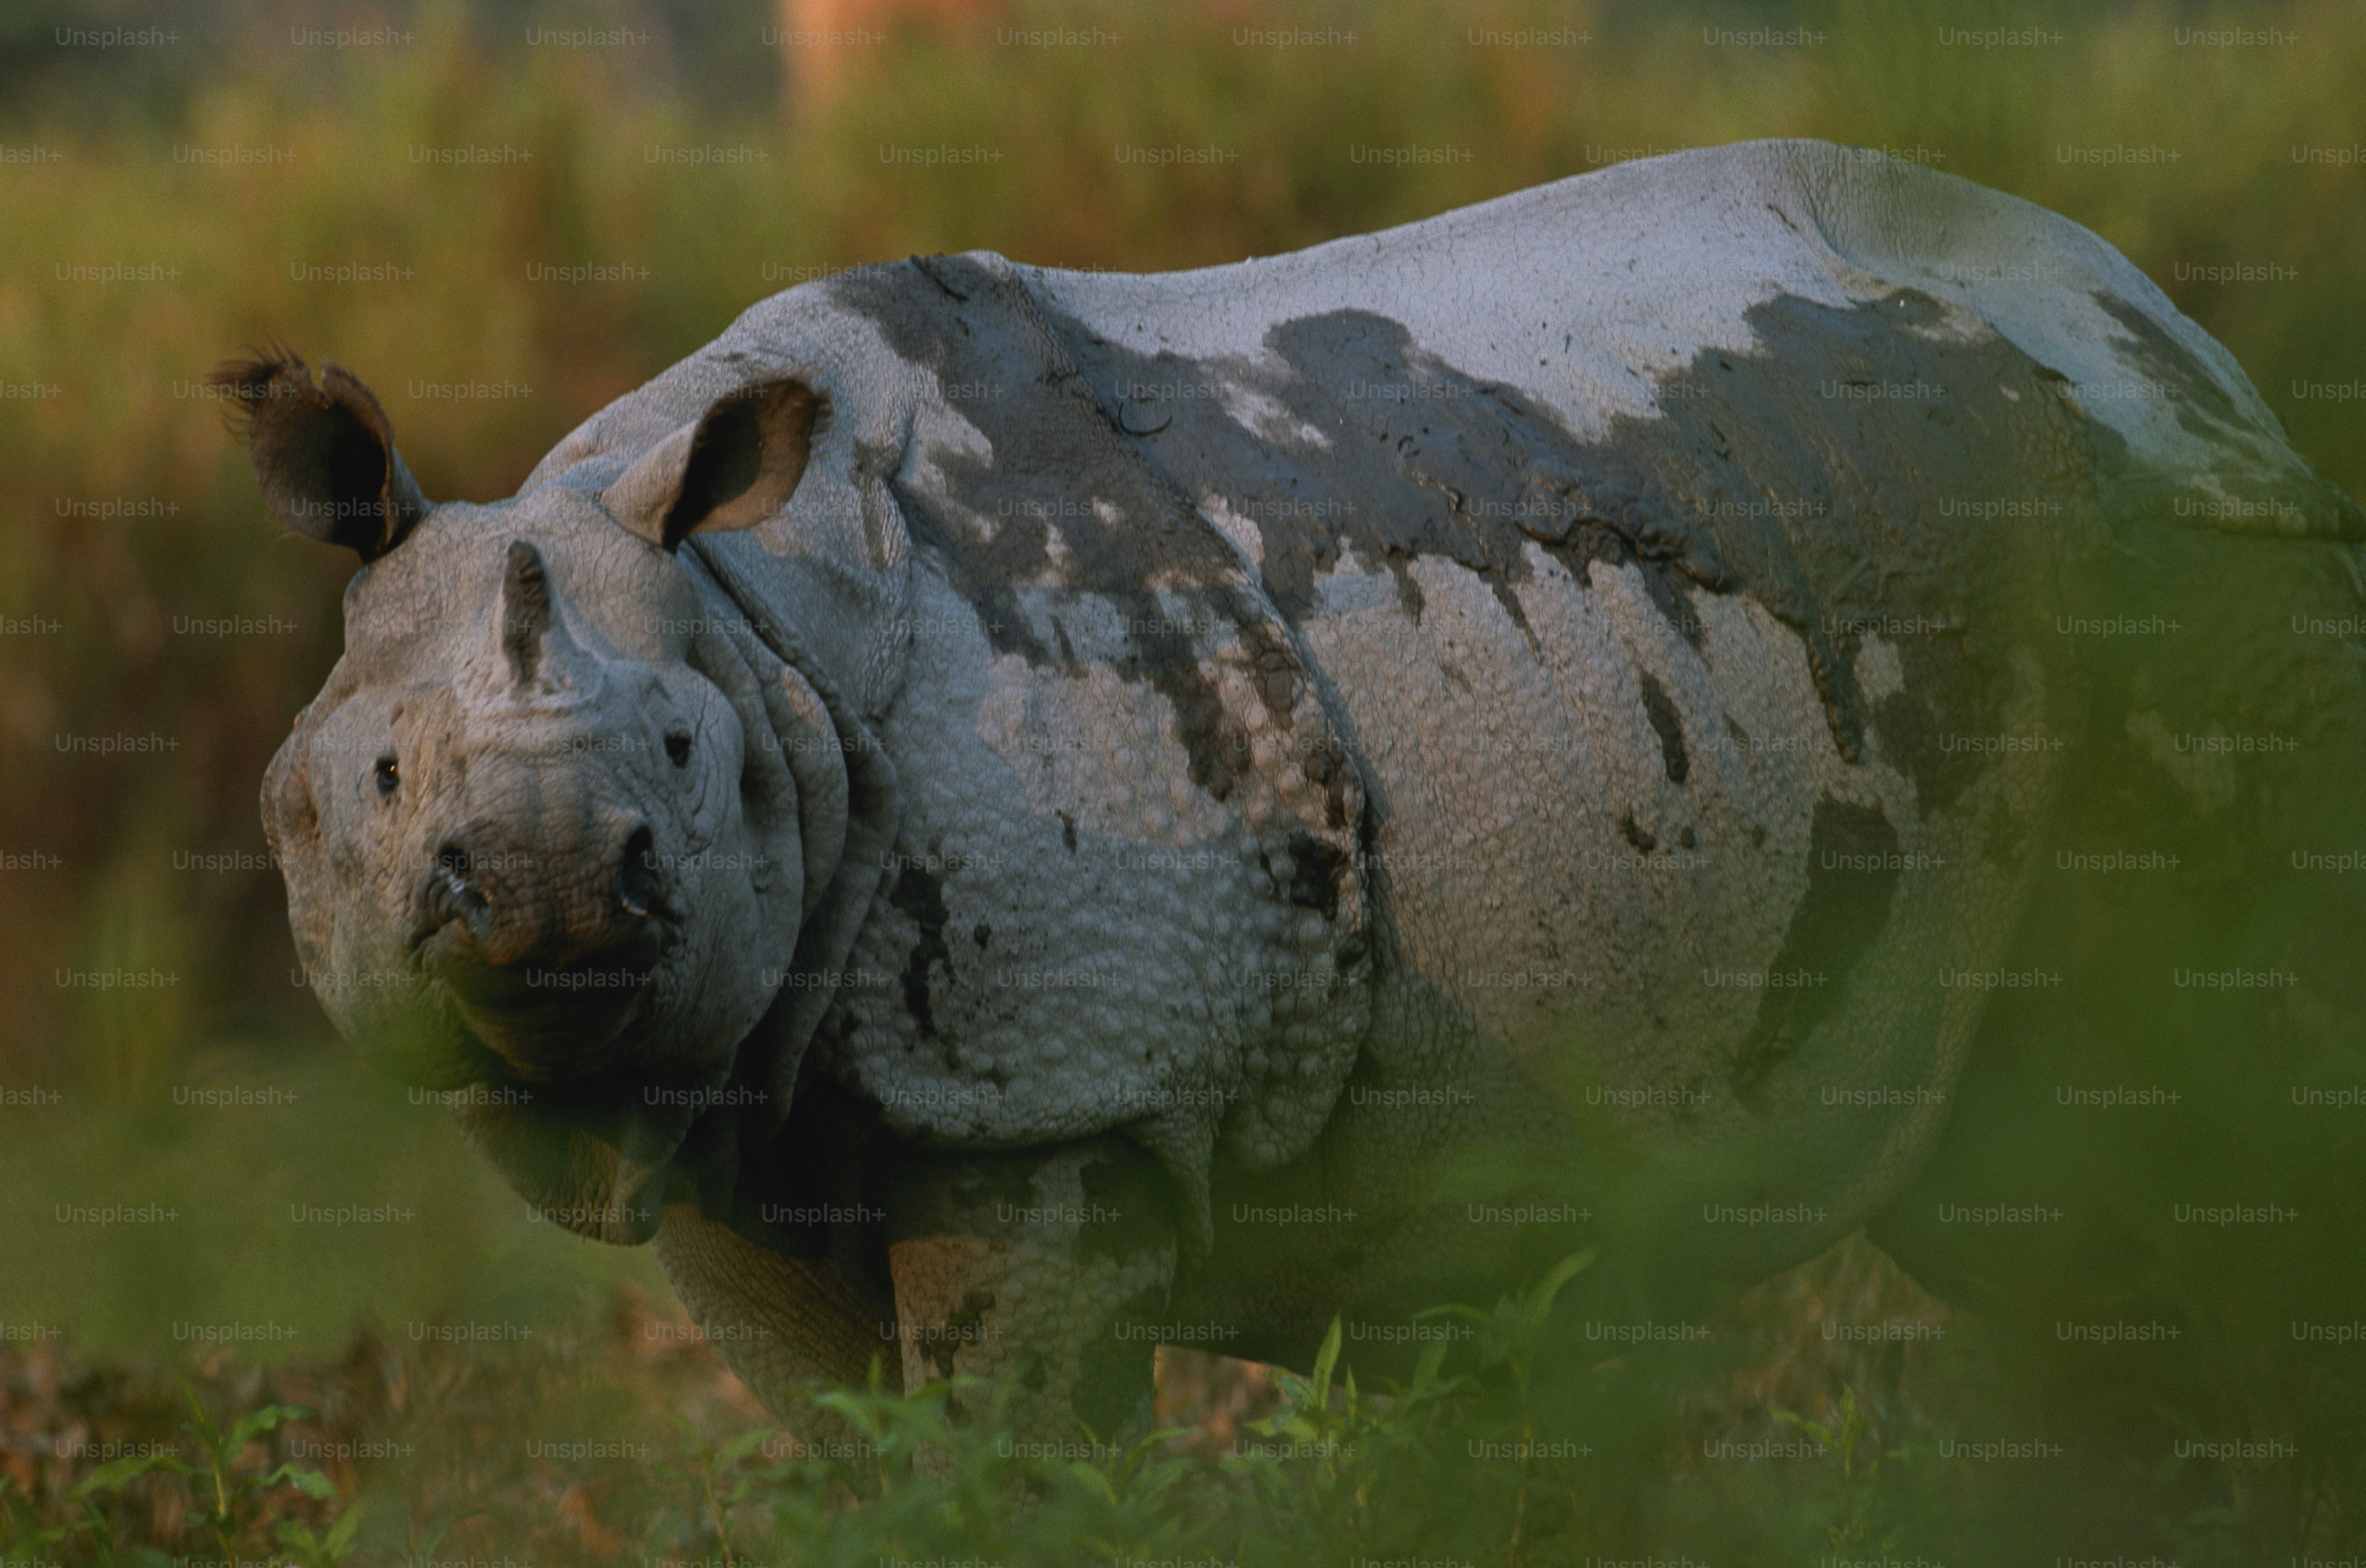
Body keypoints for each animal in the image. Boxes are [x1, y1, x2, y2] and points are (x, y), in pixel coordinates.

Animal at [235, 139, 2366, 1444]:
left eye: (682, 758)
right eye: (381, 774)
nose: (553, 893)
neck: (765, 635)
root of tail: (2175, 331)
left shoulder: (1066, 1079)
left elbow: (1014, 1442)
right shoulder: (735, 1109)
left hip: (2189, 541)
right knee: (2045, 1161)